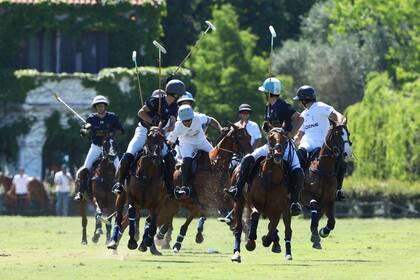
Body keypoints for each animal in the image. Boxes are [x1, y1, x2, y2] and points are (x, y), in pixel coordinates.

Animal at [154, 124, 253, 252]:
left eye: (249, 136)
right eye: (240, 137)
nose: (250, 154)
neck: (216, 165)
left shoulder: (224, 198)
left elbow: (233, 215)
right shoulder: (210, 200)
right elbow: (229, 216)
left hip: (186, 205)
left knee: (176, 224)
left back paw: (172, 241)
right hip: (172, 202)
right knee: (164, 220)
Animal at [230, 129, 292, 262]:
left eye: (285, 140)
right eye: (270, 138)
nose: (278, 155)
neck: (270, 178)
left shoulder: (278, 207)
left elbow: (273, 225)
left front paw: (266, 240)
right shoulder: (252, 201)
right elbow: (255, 214)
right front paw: (250, 243)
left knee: (287, 229)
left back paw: (286, 252)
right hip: (239, 201)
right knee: (238, 227)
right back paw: (237, 254)